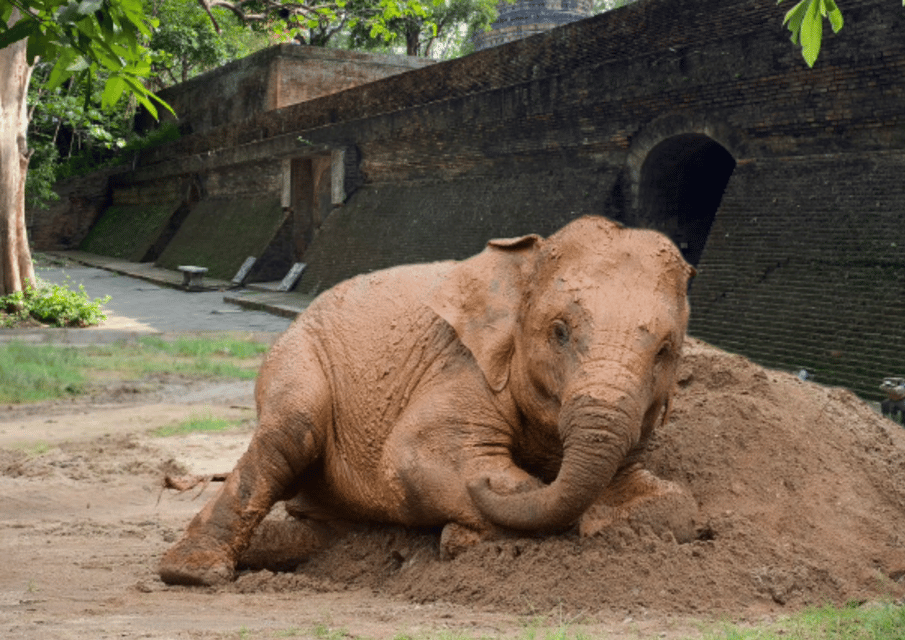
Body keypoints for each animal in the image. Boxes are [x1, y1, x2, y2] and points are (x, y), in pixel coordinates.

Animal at [159, 215, 696, 584]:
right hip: (296, 359)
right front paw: (465, 534)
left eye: (665, 351)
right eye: (559, 331)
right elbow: (414, 454)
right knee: (287, 435)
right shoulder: (467, 364)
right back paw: (193, 573)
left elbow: (677, 506)